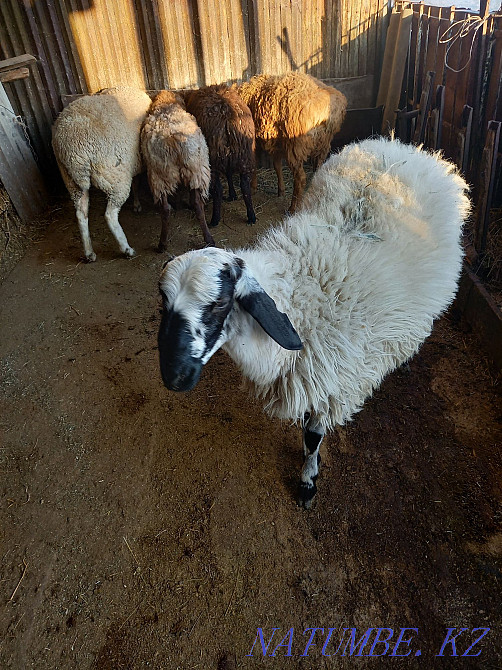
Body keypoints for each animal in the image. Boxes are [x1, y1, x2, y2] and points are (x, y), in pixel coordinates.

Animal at [52, 86, 152, 262]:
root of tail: (74, 151)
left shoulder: (132, 162)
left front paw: (136, 204)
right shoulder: (136, 162)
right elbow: (136, 183)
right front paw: (137, 204)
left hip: (72, 183)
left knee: (81, 214)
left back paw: (89, 253)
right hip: (114, 177)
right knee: (110, 215)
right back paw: (126, 249)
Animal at [140, 90, 214, 252]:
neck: (166, 104)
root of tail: (173, 137)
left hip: (159, 175)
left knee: (165, 209)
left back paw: (162, 244)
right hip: (197, 170)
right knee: (197, 205)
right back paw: (209, 239)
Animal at [157, 137, 470, 507]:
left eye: (219, 303)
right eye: (163, 303)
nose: (173, 377)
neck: (300, 298)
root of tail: (405, 147)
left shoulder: (333, 381)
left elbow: (313, 434)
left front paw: (308, 480)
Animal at [183, 84, 256, 228]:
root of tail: (226, 114)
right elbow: (229, 174)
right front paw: (233, 195)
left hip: (213, 158)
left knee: (218, 189)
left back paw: (214, 219)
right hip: (244, 155)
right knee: (245, 186)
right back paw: (251, 216)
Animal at [238, 72, 347, 214]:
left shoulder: (254, 139)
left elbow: (255, 163)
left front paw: (253, 187)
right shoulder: (276, 141)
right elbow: (277, 165)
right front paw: (281, 190)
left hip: (296, 146)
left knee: (300, 178)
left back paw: (293, 208)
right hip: (323, 143)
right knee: (318, 169)